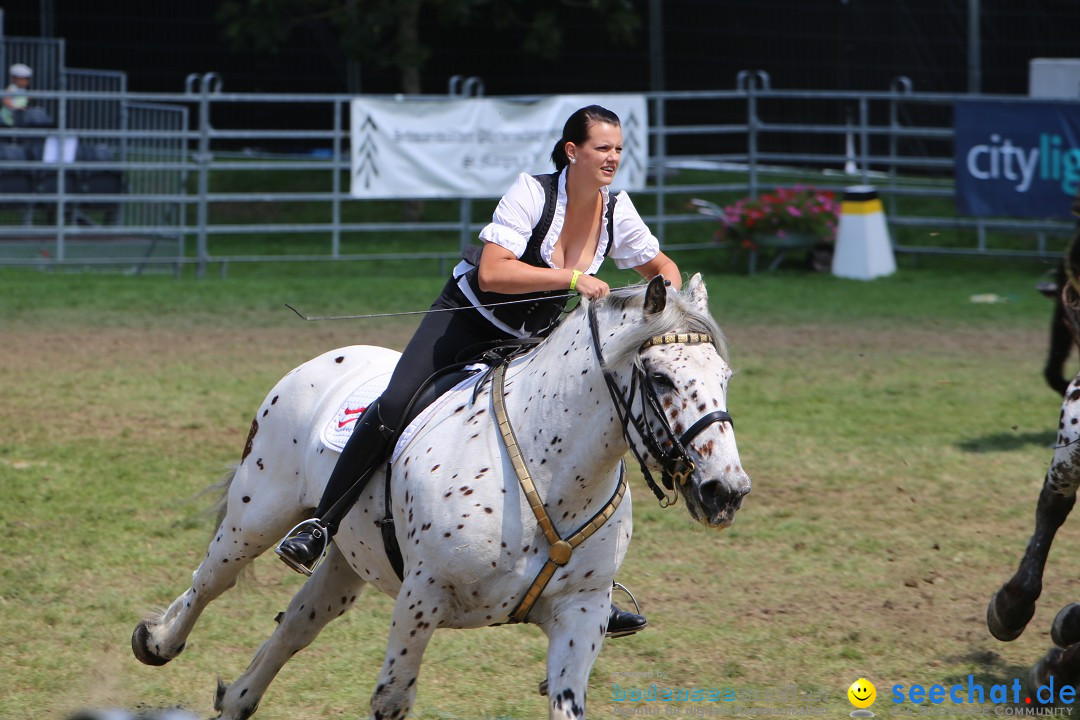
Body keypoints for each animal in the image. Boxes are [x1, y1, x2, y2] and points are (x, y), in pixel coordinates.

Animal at [130, 273, 747, 716]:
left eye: (724, 378)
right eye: (661, 378)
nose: (726, 491)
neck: (548, 477)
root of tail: (320, 361)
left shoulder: (582, 612)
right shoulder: (420, 601)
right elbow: (391, 699)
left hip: (347, 561)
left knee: (297, 623)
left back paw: (237, 698)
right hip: (255, 517)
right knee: (210, 581)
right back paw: (155, 641)